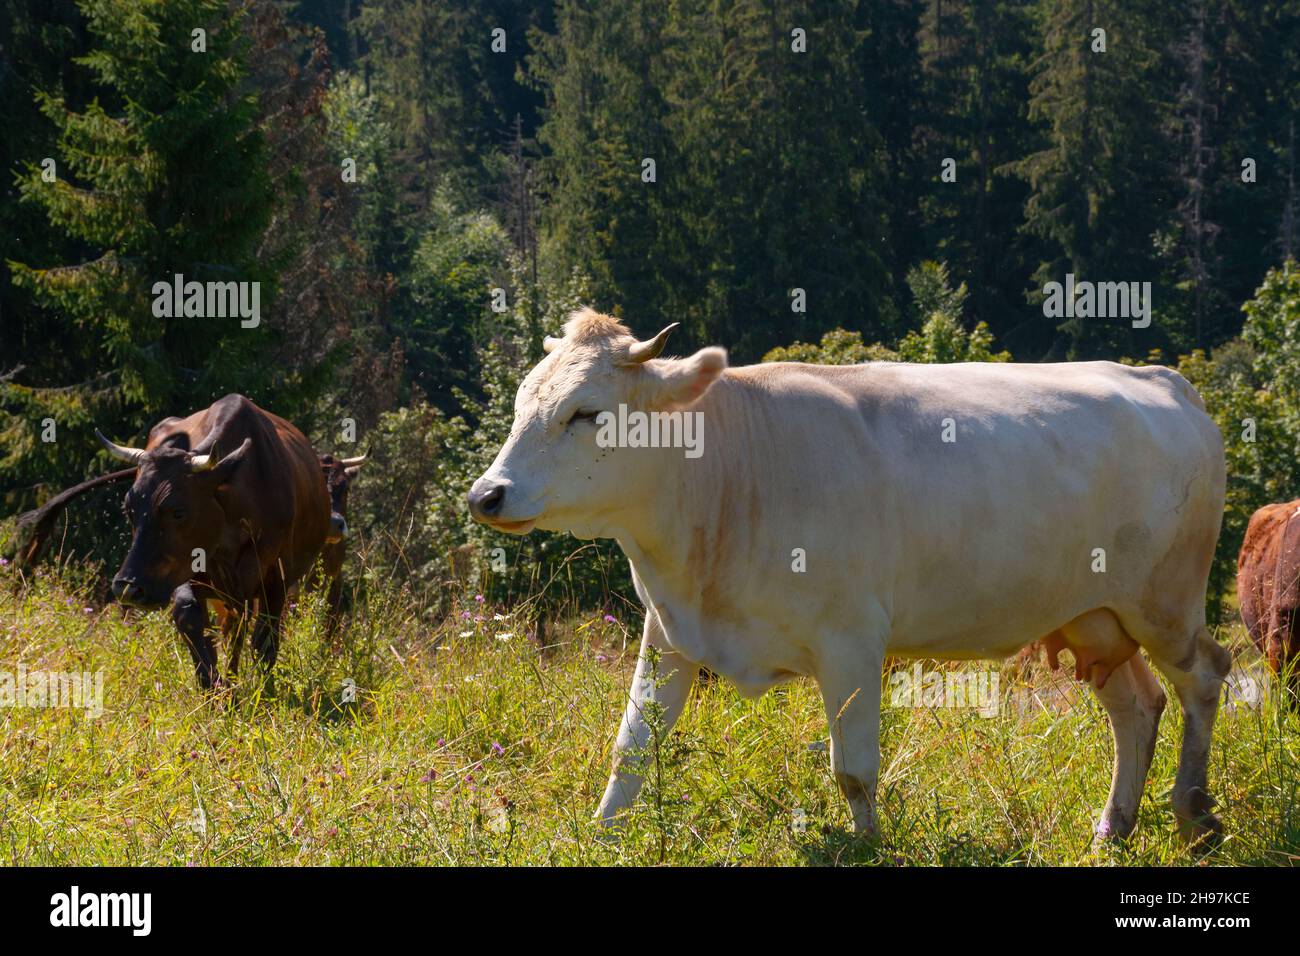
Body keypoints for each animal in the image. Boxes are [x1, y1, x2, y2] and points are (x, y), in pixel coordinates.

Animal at [96, 394, 332, 689]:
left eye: (178, 511)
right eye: (130, 510)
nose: (128, 588)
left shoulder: (276, 576)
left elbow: (265, 639)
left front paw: (263, 693)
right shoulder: (187, 568)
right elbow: (190, 618)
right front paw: (213, 686)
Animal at [468, 308, 1231, 845]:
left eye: (587, 413)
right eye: (522, 405)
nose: (486, 495)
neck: (726, 477)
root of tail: (1162, 380)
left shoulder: (852, 641)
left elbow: (854, 772)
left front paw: (868, 846)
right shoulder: (669, 632)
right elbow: (630, 751)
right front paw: (600, 837)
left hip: (1164, 602)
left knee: (1204, 676)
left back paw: (1193, 813)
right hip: (1092, 615)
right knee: (1136, 707)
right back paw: (1113, 829)